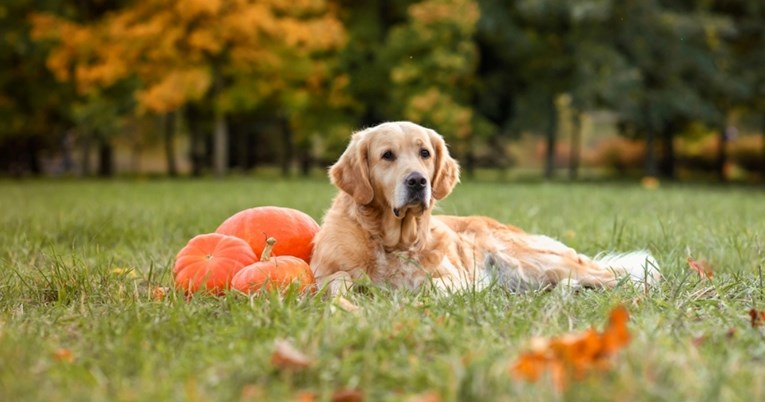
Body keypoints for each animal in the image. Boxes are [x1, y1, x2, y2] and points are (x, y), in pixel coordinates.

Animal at [308, 121, 660, 294]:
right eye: (387, 156)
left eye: (424, 153)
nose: (418, 181)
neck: (393, 241)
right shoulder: (326, 273)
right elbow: (338, 284)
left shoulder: (455, 277)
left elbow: (435, 286)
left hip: (532, 260)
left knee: (617, 275)